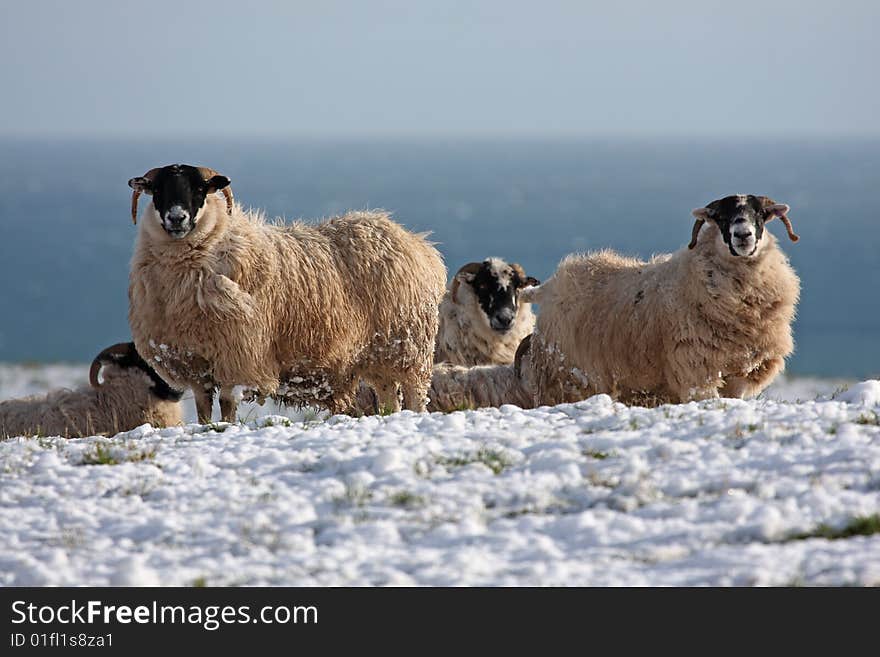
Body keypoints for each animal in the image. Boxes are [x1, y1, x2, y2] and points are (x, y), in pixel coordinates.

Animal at [127, 161, 446, 422]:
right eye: (157, 190)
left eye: (199, 188)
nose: (176, 218)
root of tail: (419, 245)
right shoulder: (194, 363)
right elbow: (204, 408)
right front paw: (207, 429)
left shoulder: (238, 355)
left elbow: (228, 404)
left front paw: (226, 428)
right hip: (377, 354)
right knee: (389, 394)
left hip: (408, 345)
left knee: (415, 393)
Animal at [524, 193, 804, 404]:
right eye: (721, 217)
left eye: (760, 214)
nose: (743, 235)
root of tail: (552, 284)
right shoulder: (697, 370)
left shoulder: (742, 375)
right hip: (569, 377)